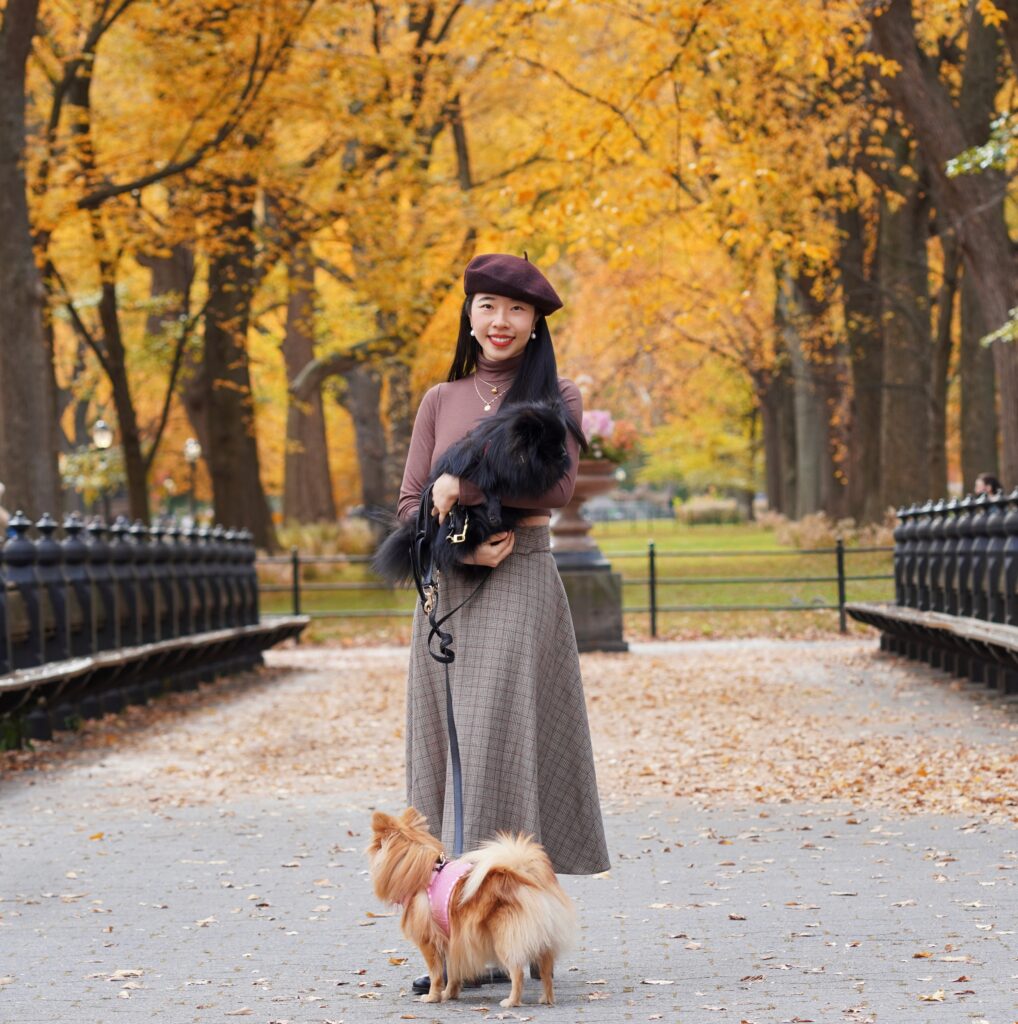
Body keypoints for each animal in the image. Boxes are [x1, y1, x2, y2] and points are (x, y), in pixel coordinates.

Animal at [370, 399, 569, 585]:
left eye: (562, 441)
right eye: (552, 443)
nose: (565, 453)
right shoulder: (476, 472)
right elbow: (488, 487)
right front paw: (494, 510)